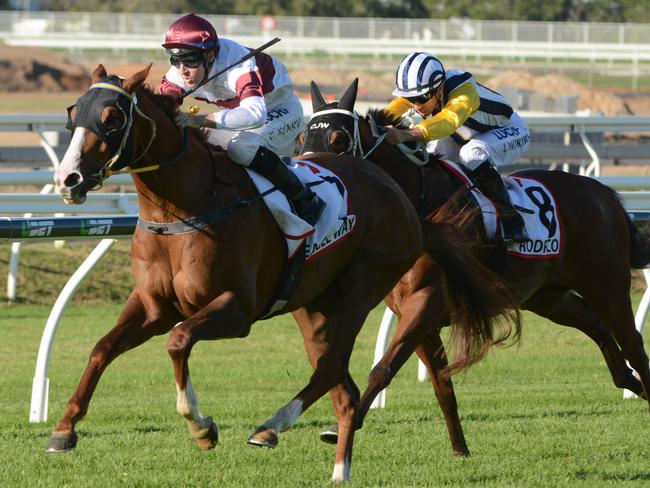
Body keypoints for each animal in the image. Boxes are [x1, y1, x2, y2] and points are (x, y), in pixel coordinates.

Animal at [48, 66, 512, 482]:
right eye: (73, 113)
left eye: (112, 117)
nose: (68, 179)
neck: (184, 207)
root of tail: (402, 198)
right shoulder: (152, 306)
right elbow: (102, 349)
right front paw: (64, 430)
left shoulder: (237, 309)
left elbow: (178, 342)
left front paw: (202, 427)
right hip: (313, 305)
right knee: (340, 383)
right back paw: (337, 465)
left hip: (363, 288)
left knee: (332, 368)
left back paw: (273, 428)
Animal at [302, 78, 648, 456]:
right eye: (302, 136)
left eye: (338, 139)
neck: (420, 205)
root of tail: (603, 193)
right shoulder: (418, 316)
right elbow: (442, 386)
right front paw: (460, 448)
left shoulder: (425, 303)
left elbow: (384, 368)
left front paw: (339, 427)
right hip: (547, 296)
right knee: (596, 325)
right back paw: (626, 379)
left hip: (606, 283)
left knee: (632, 341)